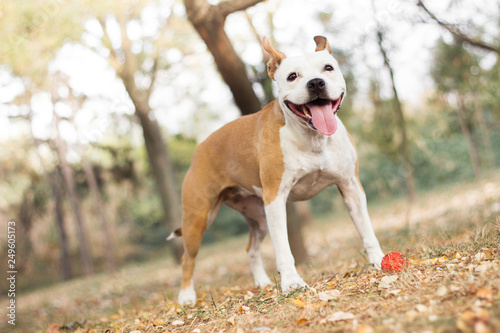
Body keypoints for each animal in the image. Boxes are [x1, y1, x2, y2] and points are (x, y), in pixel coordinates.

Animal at [168, 35, 382, 304]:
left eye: (328, 68)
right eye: (292, 76)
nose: (316, 83)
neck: (312, 138)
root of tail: (200, 147)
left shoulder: (351, 186)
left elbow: (366, 229)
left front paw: (379, 260)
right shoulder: (275, 199)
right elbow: (283, 248)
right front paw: (292, 283)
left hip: (258, 217)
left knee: (251, 249)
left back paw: (262, 282)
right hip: (198, 218)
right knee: (188, 258)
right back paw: (186, 297)